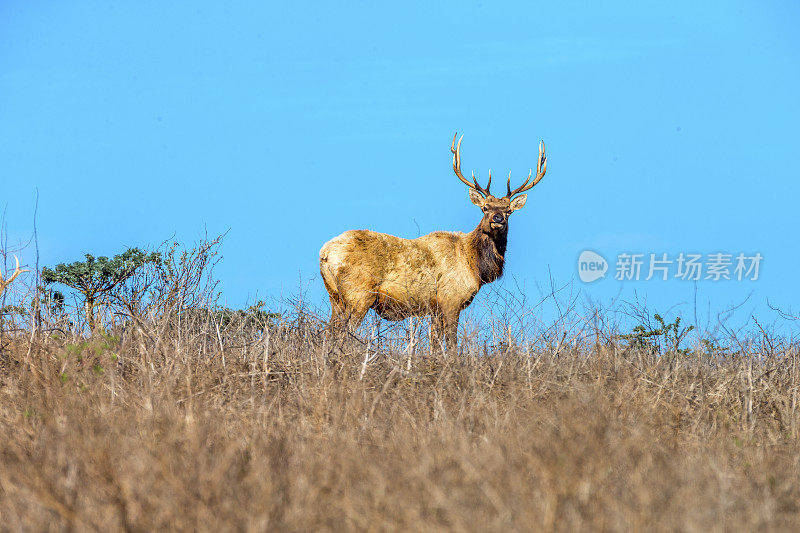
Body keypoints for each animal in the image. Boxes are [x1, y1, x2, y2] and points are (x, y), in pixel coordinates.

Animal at [322, 133, 548, 350]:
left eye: (509, 210)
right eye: (485, 207)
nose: (498, 219)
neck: (474, 266)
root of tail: (324, 253)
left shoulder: (435, 308)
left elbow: (435, 344)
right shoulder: (451, 300)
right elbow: (451, 344)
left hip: (335, 297)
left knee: (328, 333)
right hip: (358, 294)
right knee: (342, 335)